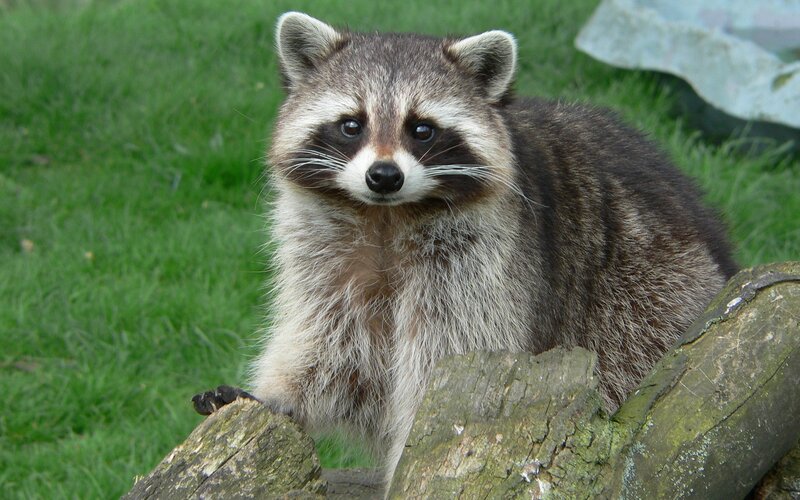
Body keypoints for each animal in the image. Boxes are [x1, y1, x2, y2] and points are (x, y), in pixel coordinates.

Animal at [198, 12, 738, 484]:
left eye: (421, 129)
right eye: (352, 124)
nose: (383, 176)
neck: (386, 217)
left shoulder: (481, 265)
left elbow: (448, 357)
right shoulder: (326, 257)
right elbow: (332, 347)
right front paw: (280, 396)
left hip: (649, 293)